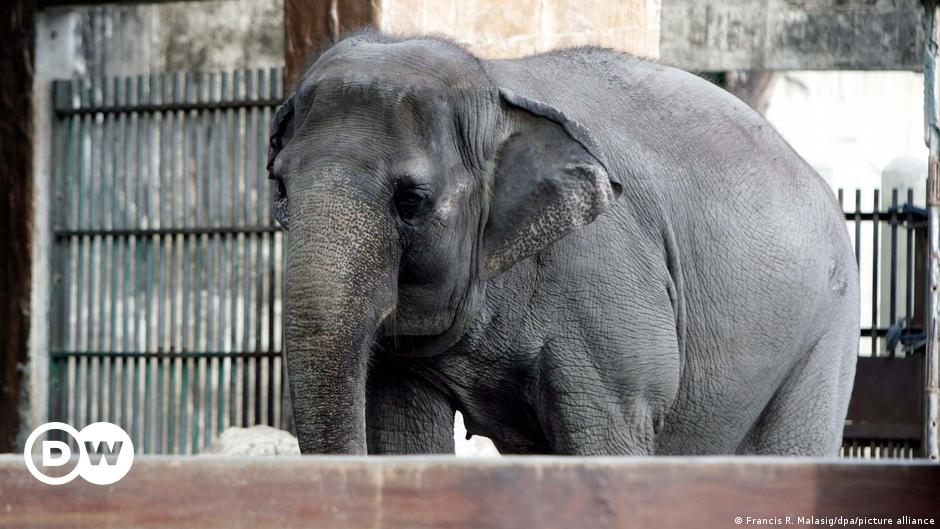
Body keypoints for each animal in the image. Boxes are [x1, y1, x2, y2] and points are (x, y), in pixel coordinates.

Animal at [266, 30, 859, 456]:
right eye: (280, 186)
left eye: (411, 200)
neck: (494, 85)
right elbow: (401, 436)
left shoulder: (607, 286)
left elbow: (606, 440)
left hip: (826, 330)